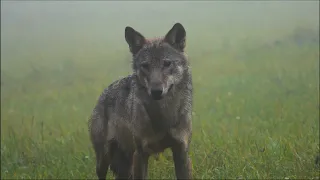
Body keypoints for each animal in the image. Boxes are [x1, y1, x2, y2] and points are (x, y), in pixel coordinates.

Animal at [87, 22, 192, 180]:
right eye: (145, 66)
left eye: (167, 64)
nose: (156, 91)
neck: (164, 115)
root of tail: (102, 94)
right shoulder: (141, 153)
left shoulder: (181, 151)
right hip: (104, 160)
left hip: (126, 165)